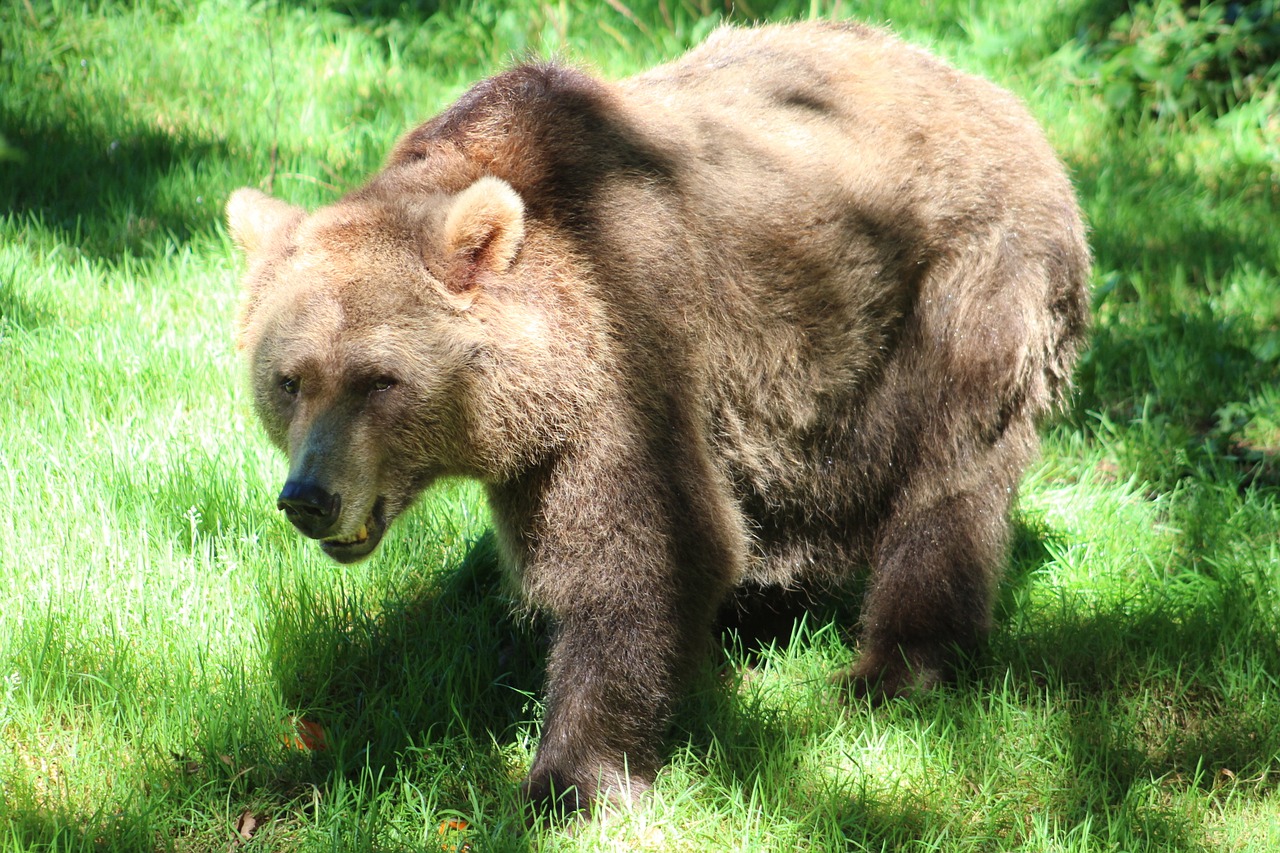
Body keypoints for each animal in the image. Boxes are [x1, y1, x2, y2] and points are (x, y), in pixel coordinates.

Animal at [227, 21, 1090, 809]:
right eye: (290, 380)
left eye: (379, 379)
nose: (309, 496)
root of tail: (1003, 99)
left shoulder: (629, 342)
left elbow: (642, 551)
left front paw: (570, 777)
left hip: (959, 289)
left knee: (947, 483)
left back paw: (897, 667)